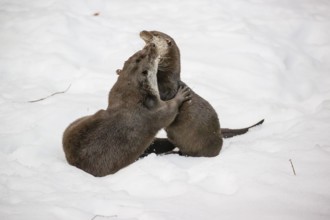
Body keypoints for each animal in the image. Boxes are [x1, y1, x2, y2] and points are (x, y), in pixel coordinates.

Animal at [62, 43, 191, 177]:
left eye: (138, 52)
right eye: (145, 55)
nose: (152, 44)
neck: (130, 98)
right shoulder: (154, 113)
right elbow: (169, 113)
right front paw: (181, 94)